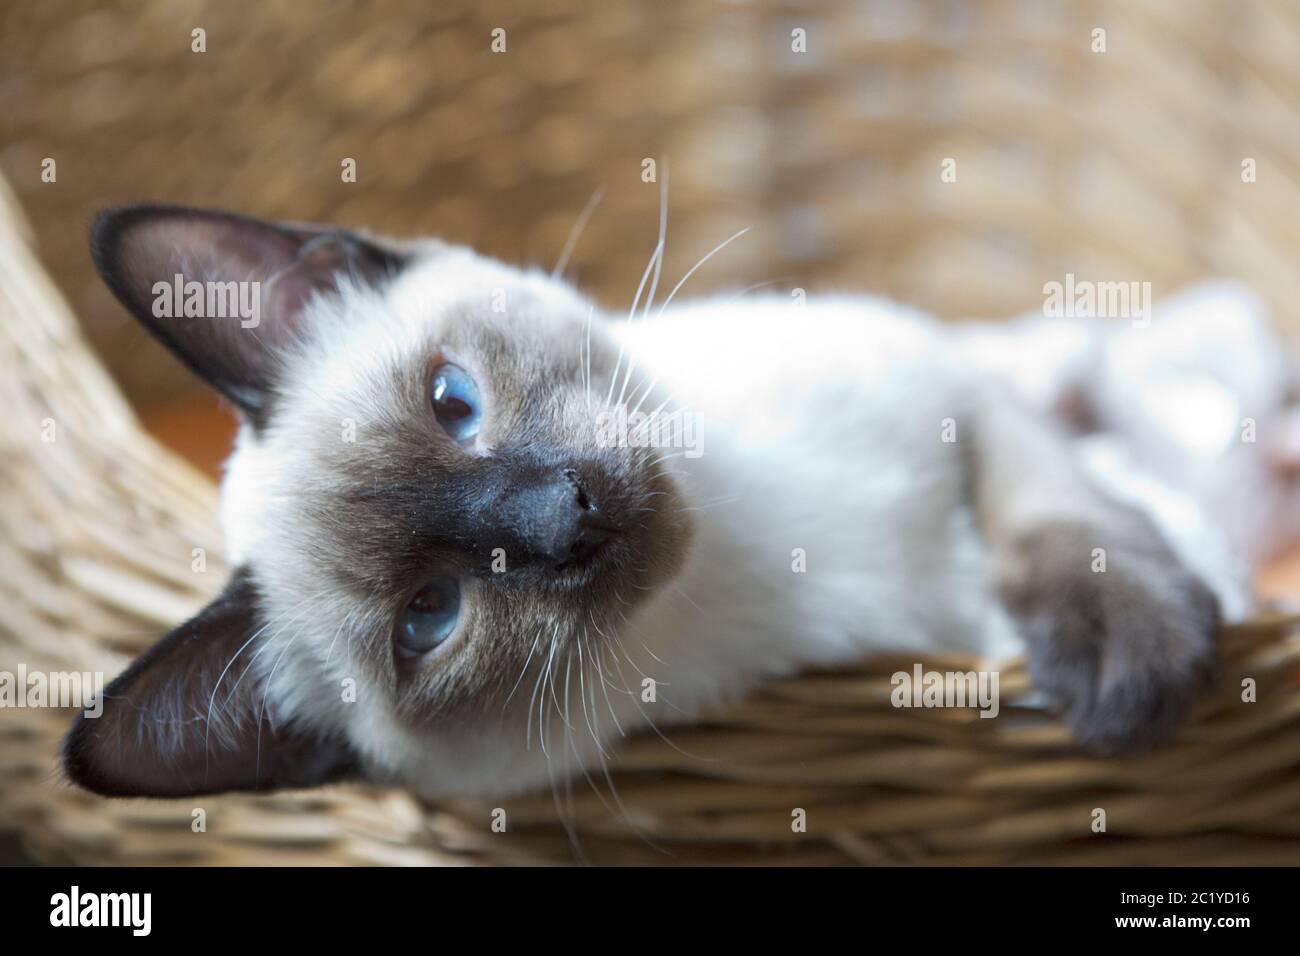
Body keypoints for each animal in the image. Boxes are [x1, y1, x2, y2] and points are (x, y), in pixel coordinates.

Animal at [65, 208, 1263, 801]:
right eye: (428, 619)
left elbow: (1065, 517)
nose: (565, 512)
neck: (753, 535)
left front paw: (1129, 654)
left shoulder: (953, 390)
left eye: (453, 401)